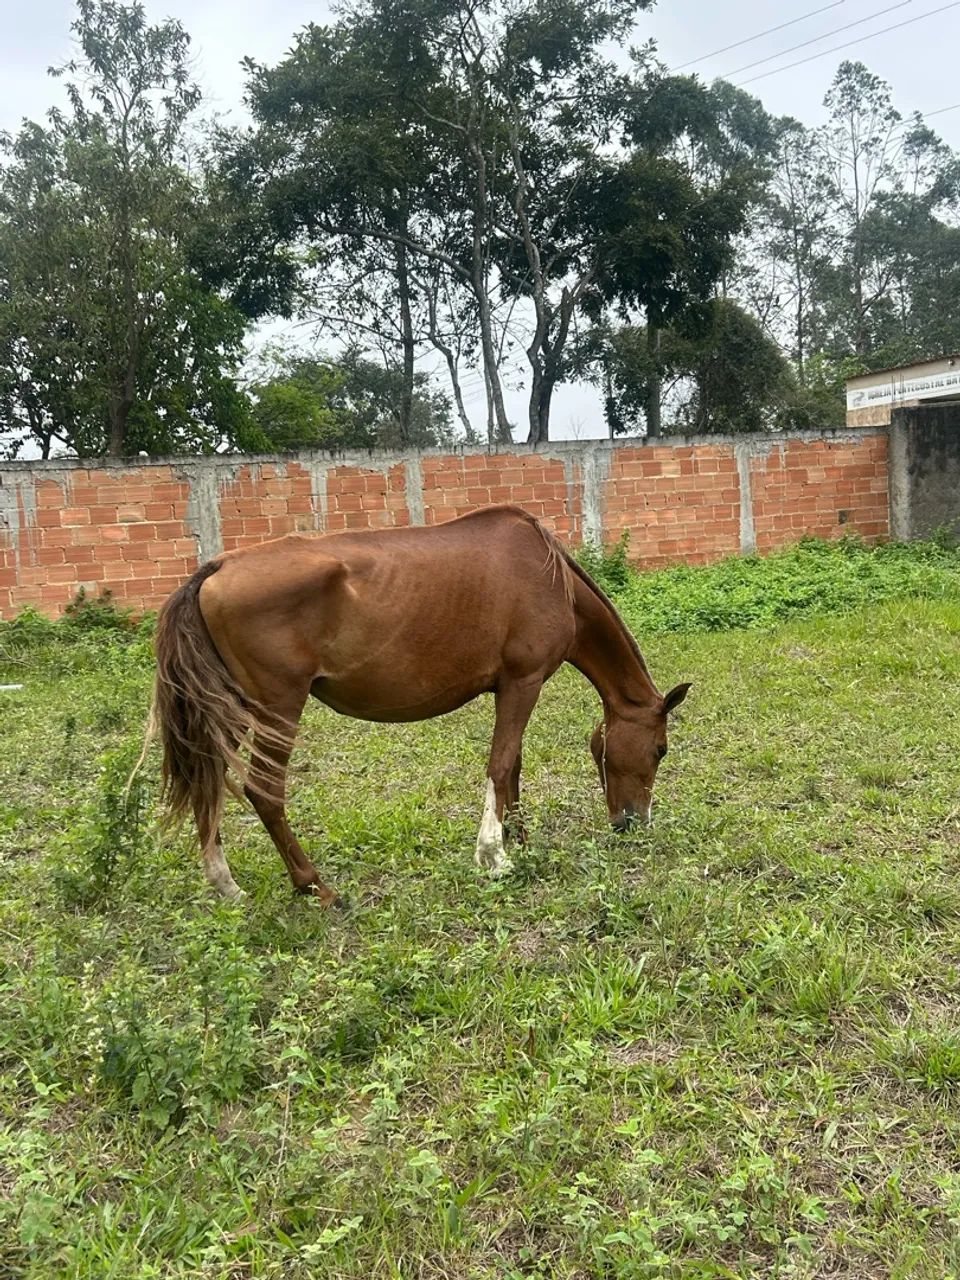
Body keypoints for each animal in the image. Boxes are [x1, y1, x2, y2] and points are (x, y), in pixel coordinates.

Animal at [147, 504, 690, 903]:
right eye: (660, 750)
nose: (633, 823)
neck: (550, 578)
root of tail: (216, 567)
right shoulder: (523, 683)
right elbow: (500, 765)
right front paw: (495, 856)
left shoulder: (511, 690)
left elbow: (513, 766)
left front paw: (519, 839)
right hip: (278, 709)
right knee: (263, 793)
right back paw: (314, 885)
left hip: (233, 709)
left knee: (208, 783)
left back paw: (227, 885)